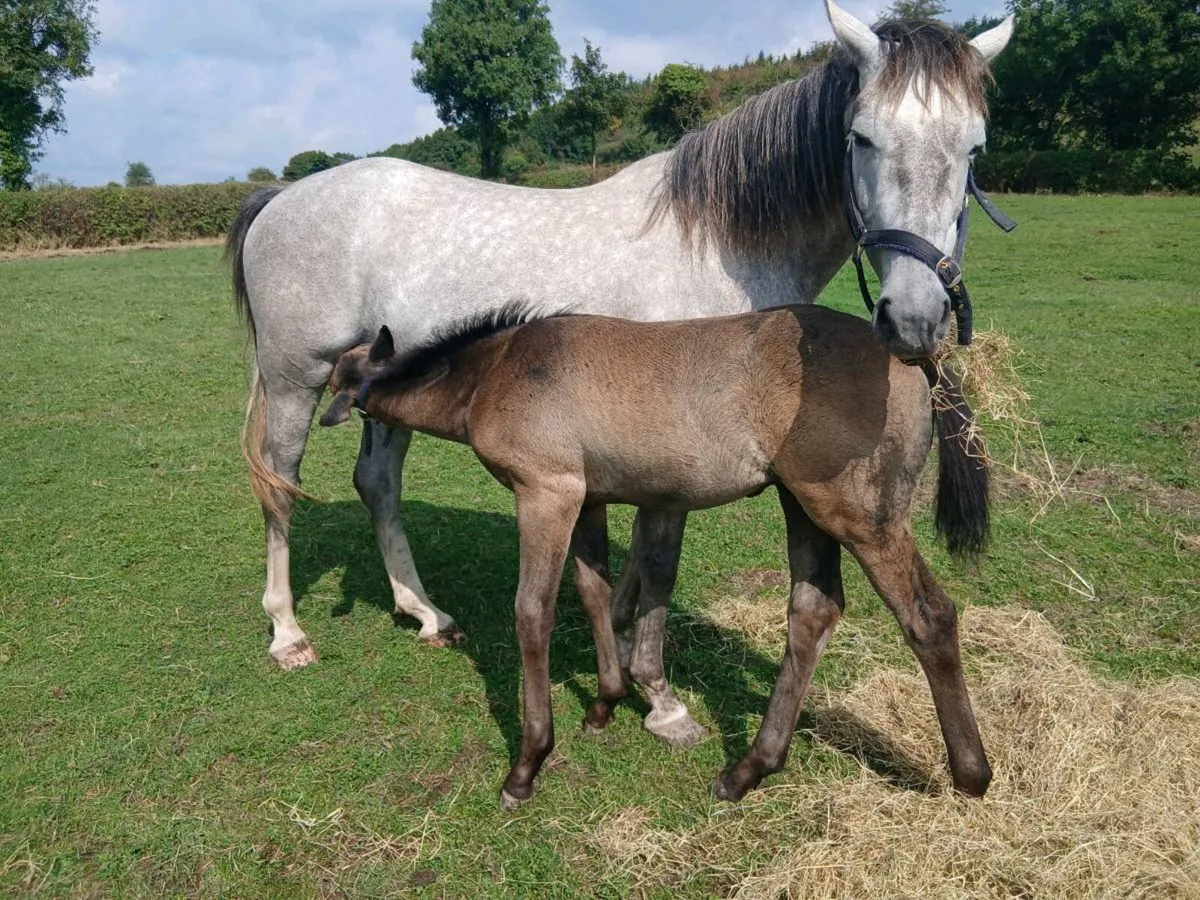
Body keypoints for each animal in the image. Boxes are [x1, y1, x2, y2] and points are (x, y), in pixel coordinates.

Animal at [225, 2, 1014, 671]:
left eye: (974, 149)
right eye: (861, 137)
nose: (914, 319)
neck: (715, 244)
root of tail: (283, 196)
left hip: (385, 382)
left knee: (377, 484)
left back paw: (424, 613)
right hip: (297, 380)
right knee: (280, 485)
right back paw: (288, 632)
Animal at [318, 303, 992, 809]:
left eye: (337, 379)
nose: (333, 417)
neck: (499, 370)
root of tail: (917, 362)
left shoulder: (546, 492)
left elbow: (532, 612)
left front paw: (528, 764)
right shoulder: (588, 498)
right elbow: (596, 592)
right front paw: (604, 703)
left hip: (860, 517)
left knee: (929, 616)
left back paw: (971, 774)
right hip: (802, 504)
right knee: (813, 613)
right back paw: (748, 769)